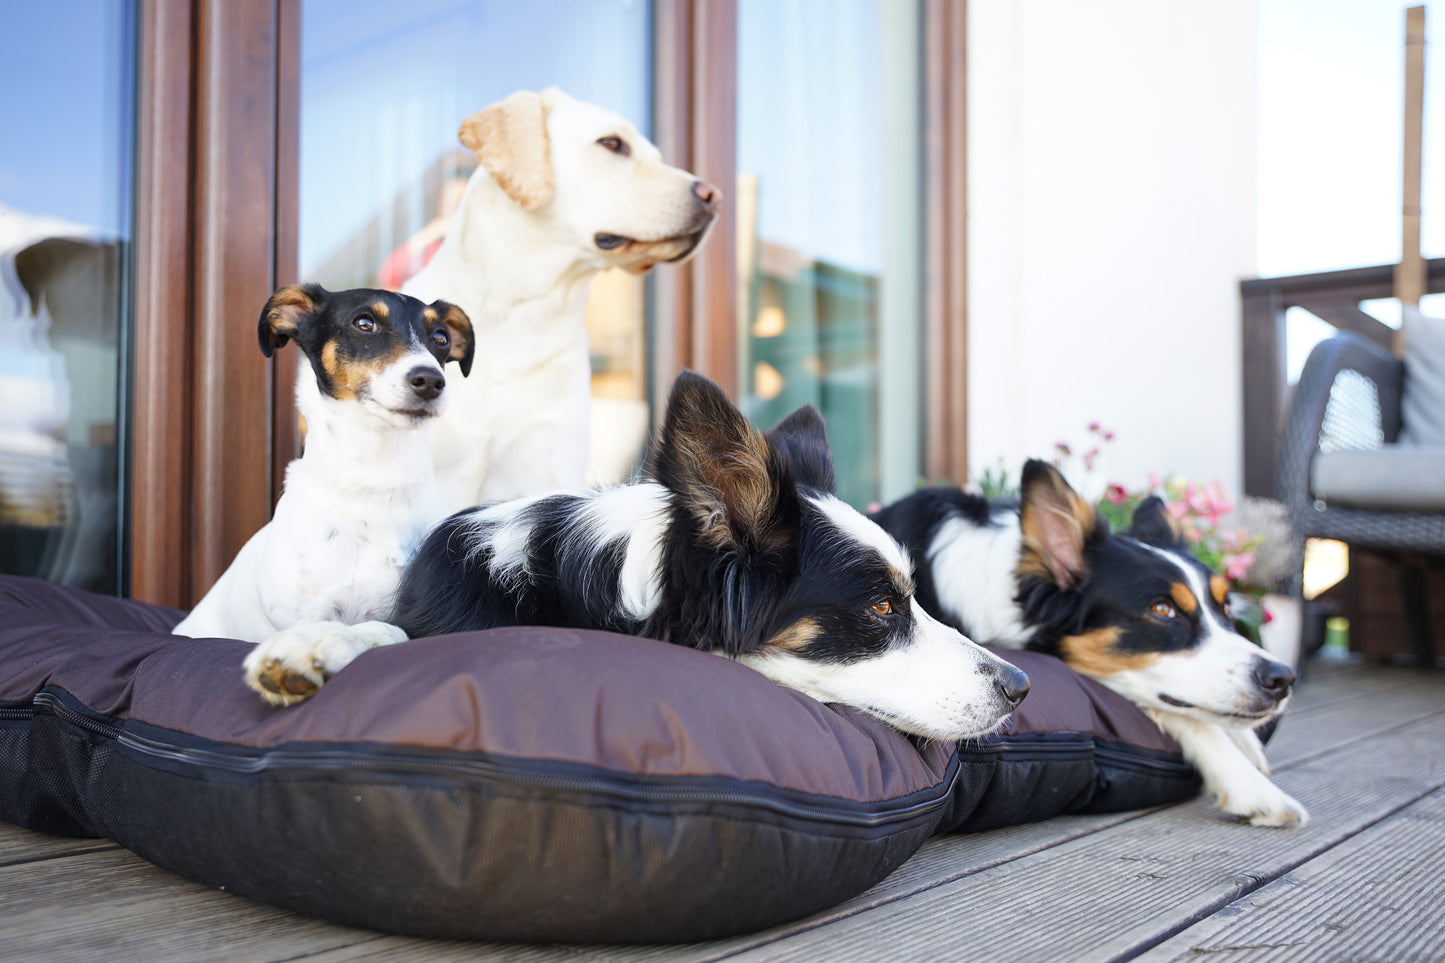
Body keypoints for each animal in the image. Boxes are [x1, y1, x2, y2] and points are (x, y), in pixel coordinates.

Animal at [170, 281, 473, 702]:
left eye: (440, 338)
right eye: (364, 323)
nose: (430, 380)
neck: (375, 481)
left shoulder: (414, 615)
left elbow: (381, 630)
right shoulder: (307, 611)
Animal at [867, 459, 1312, 827]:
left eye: (1226, 607)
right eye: (1162, 610)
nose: (1282, 679)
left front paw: (1247, 744)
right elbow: (1182, 715)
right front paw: (1251, 785)